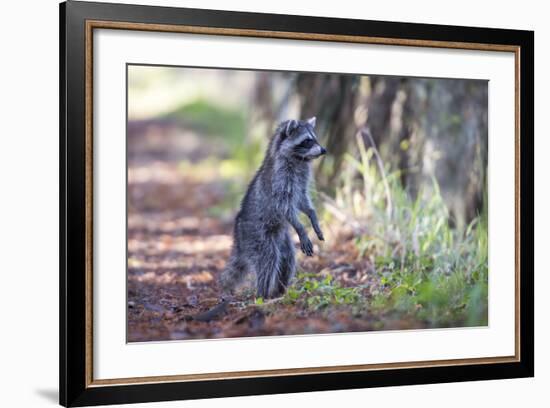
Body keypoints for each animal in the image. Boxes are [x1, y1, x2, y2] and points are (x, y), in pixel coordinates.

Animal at [222, 116, 328, 298]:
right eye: (307, 141)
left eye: (315, 138)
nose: (324, 150)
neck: (299, 159)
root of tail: (239, 239)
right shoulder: (280, 178)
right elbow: (284, 205)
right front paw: (301, 227)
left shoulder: (300, 180)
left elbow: (302, 200)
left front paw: (312, 216)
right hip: (257, 234)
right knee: (268, 258)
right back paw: (263, 294)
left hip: (281, 237)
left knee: (287, 259)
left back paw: (280, 291)